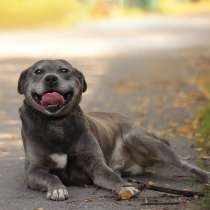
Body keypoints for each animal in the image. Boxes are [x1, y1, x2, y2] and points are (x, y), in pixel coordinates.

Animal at [18, 60, 210, 201]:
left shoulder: (97, 166)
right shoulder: (34, 171)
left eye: (64, 70)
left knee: (185, 164)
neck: (57, 122)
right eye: (38, 71)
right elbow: (51, 177)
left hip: (138, 138)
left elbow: (111, 177)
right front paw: (57, 189)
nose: (50, 78)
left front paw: (124, 186)